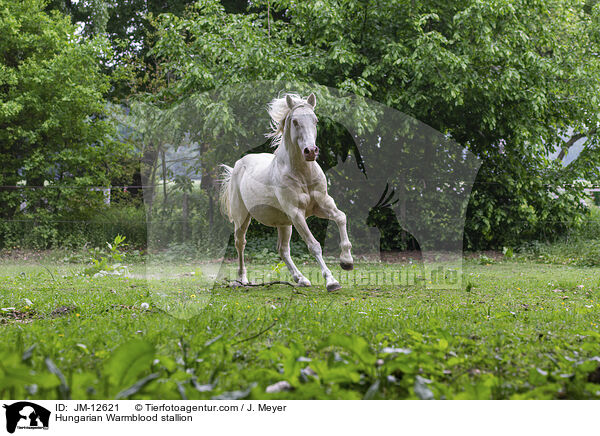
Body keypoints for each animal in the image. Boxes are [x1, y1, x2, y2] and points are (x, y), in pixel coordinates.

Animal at [219, 92, 352, 292]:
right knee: (240, 243)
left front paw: (347, 261)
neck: (302, 175)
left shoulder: (322, 205)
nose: (311, 151)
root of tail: (237, 165)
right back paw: (242, 279)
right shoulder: (296, 213)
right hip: (243, 218)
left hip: (284, 223)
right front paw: (331, 281)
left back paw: (301, 279)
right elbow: (314, 245)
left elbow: (341, 217)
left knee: (283, 249)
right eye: (295, 121)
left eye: (315, 120)